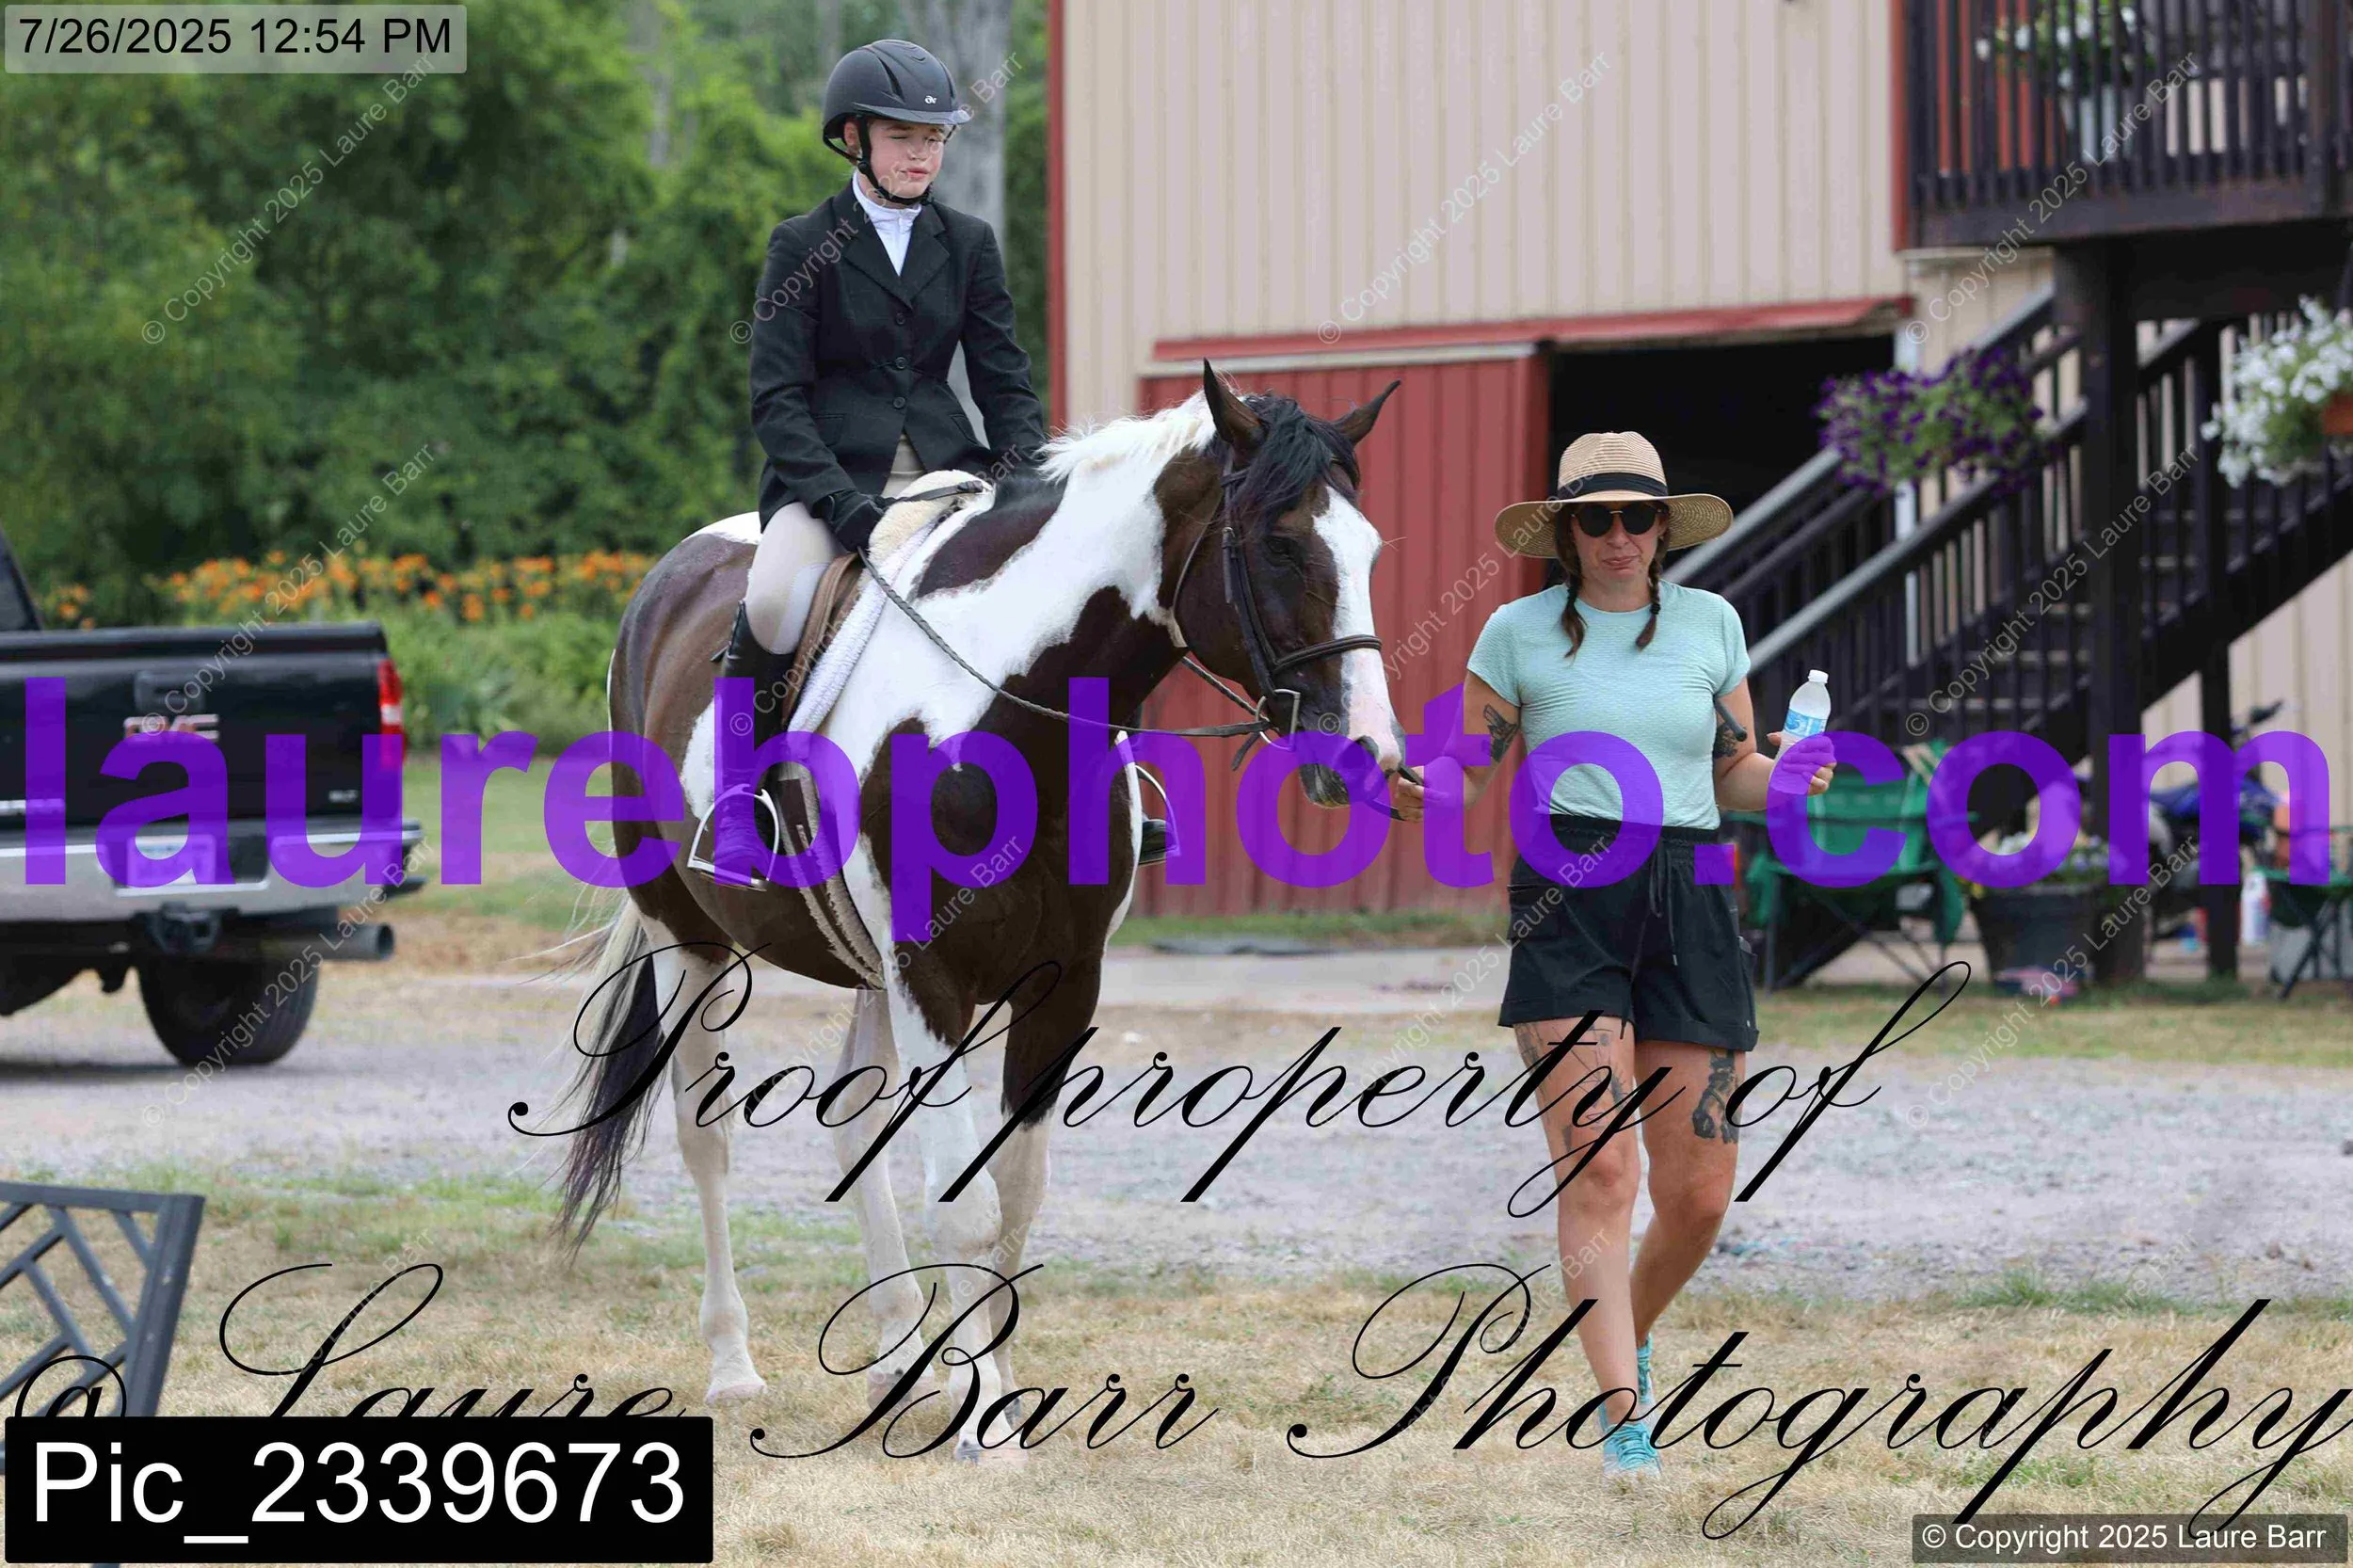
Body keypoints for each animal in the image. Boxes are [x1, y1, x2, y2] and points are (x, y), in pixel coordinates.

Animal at [554, 363, 1403, 1460]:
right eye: (1282, 542)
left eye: (1368, 548)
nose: (1369, 755)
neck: (1002, 710)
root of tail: (671, 574)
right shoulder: (934, 973)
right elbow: (961, 1203)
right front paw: (982, 1413)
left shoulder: (1058, 984)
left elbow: (1013, 1196)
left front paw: (983, 1382)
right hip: (687, 939)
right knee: (709, 1141)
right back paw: (734, 1367)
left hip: (866, 967)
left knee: (853, 1123)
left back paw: (894, 1358)